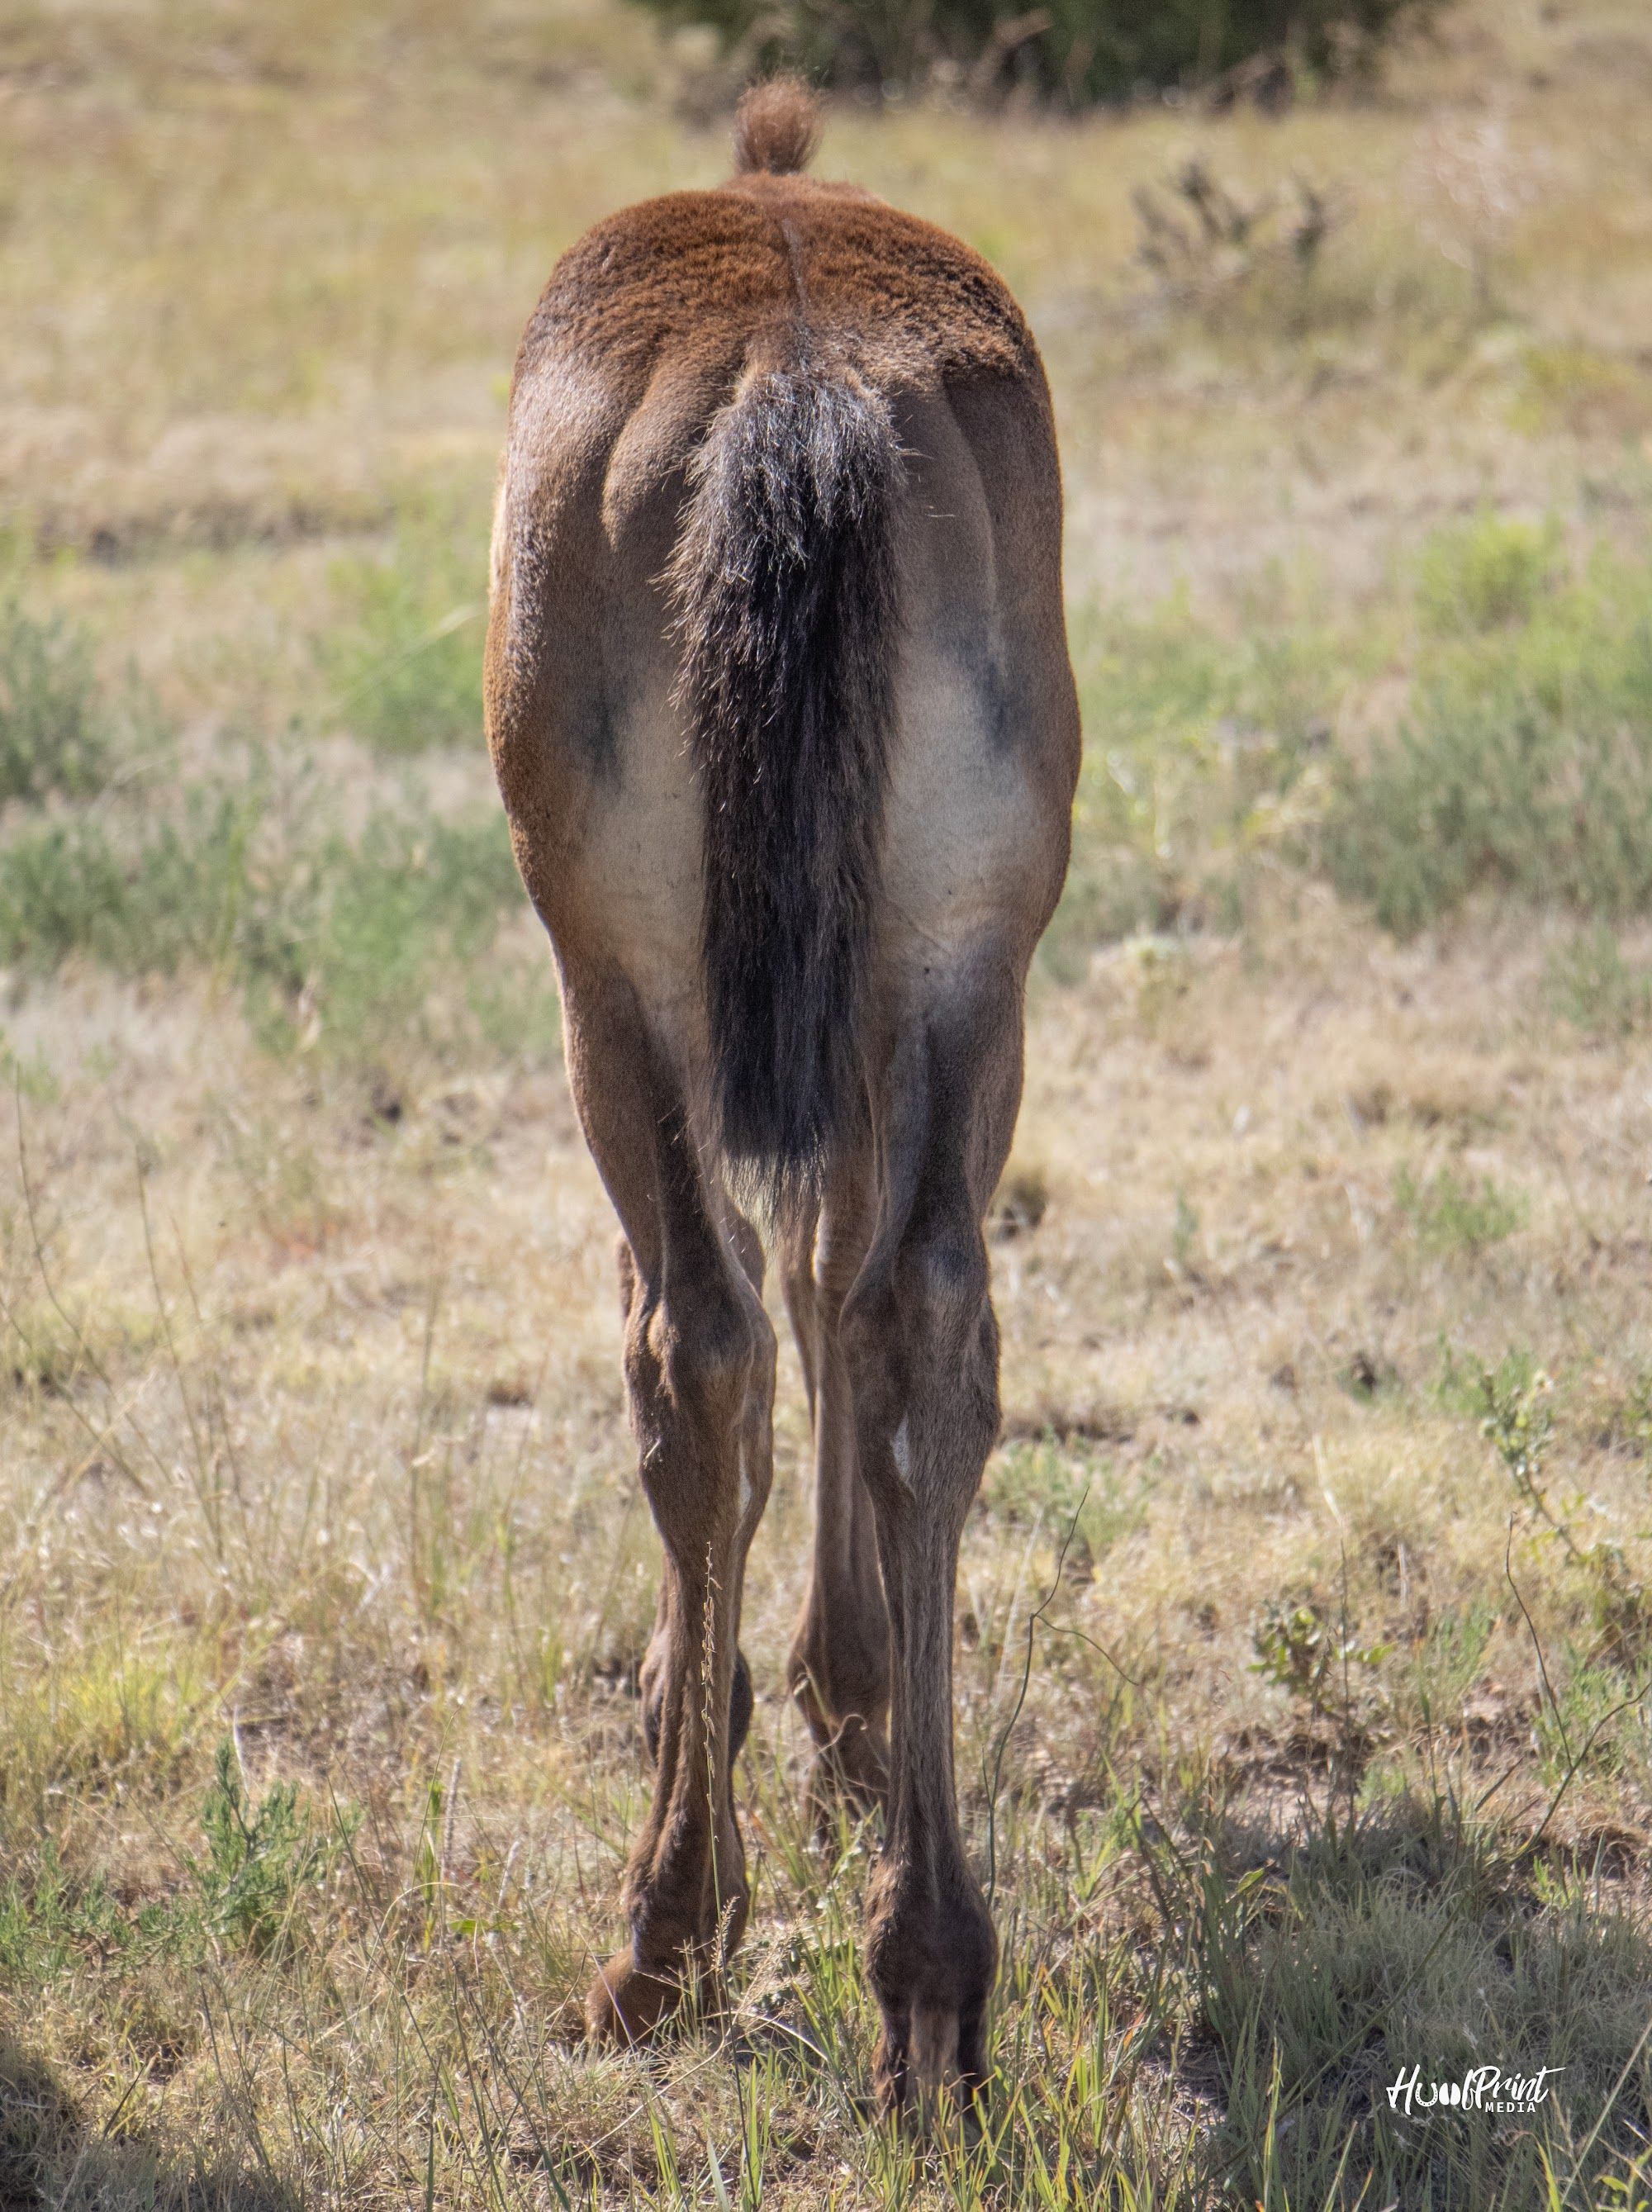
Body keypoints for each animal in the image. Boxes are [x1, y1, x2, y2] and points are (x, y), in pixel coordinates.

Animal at [484, 76, 1079, 2108]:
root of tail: (793, 383)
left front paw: (722, 1688)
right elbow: (842, 1276)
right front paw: (845, 1686)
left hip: (618, 984)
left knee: (698, 1342)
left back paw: (665, 1938)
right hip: (969, 958)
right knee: (917, 1318)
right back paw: (931, 1980)